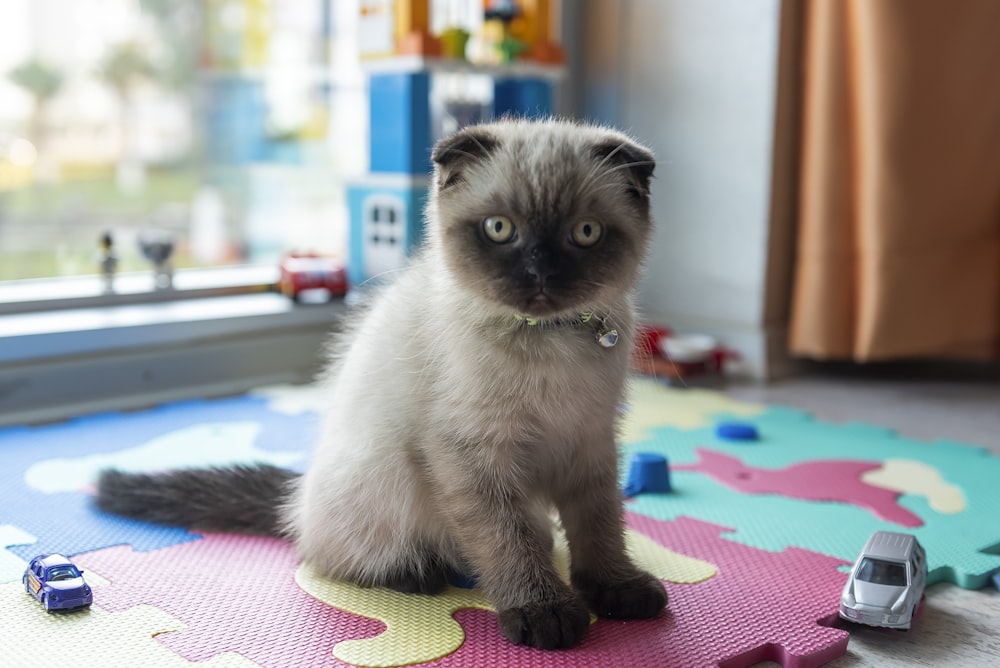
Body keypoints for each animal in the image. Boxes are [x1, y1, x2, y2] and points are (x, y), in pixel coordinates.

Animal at [97, 117, 668, 648]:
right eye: (499, 228)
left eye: (586, 234)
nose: (541, 276)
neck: (551, 342)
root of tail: (297, 492)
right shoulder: (473, 455)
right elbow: (509, 542)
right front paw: (544, 611)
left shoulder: (591, 441)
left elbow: (599, 526)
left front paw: (616, 588)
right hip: (384, 472)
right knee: (329, 555)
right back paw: (419, 572)